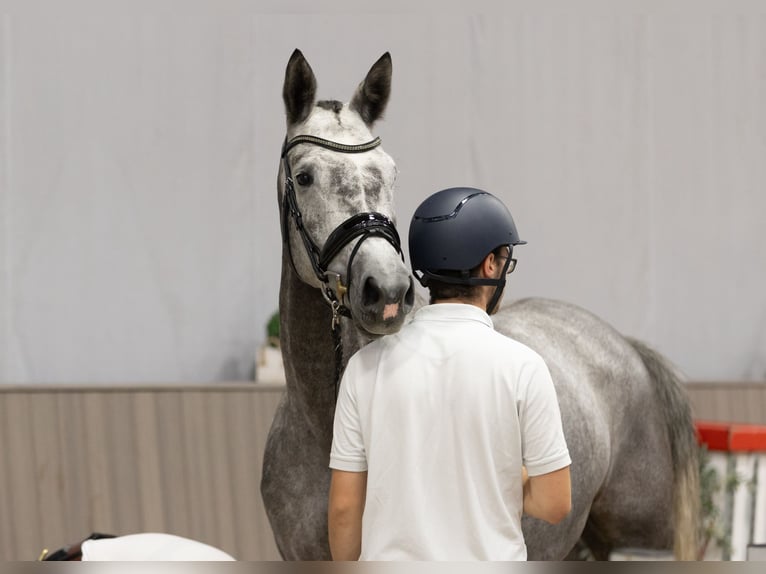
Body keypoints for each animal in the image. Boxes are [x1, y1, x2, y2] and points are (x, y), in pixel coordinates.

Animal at [264, 49, 704, 564]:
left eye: (391, 173)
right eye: (304, 177)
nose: (386, 289)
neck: (326, 430)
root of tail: (624, 346)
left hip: (639, 542)